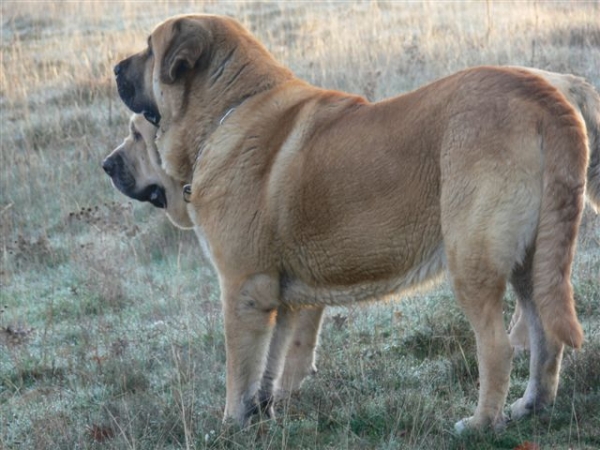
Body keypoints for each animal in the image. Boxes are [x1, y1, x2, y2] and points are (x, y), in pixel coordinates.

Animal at [113, 13, 600, 428]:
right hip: (532, 262)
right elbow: (271, 363)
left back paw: (481, 423)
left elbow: (241, 368)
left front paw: (232, 423)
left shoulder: (243, 288)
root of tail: (546, 95)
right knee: (544, 336)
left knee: (496, 347)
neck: (227, 112)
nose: (106, 165)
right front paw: (263, 413)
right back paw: (531, 406)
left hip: (472, 263)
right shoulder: (281, 296)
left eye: (149, 49)